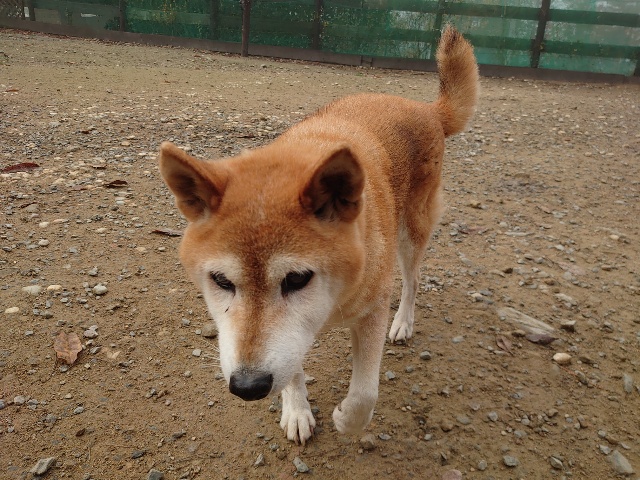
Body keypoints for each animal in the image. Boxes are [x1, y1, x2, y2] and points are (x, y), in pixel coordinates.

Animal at [159, 25, 478, 445]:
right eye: (221, 281)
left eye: (297, 279)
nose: (247, 387)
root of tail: (426, 109)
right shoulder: (288, 342)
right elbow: (292, 369)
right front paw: (296, 410)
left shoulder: (373, 309)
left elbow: (365, 392)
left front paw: (347, 419)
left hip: (411, 233)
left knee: (413, 280)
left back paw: (404, 323)